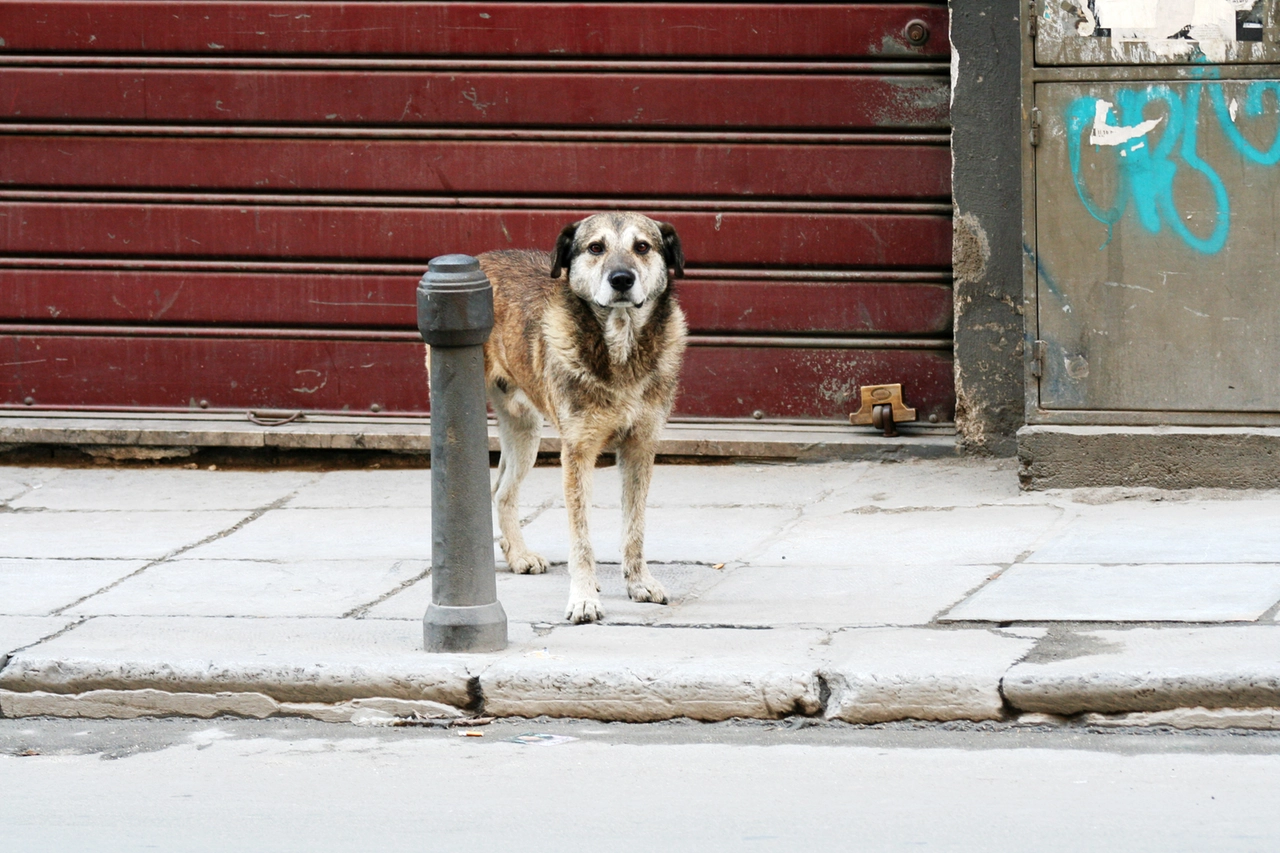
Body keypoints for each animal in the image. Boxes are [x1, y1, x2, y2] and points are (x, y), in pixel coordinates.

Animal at [478, 210, 691, 622]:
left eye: (643, 246)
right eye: (596, 248)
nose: (622, 279)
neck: (621, 347)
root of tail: (481, 256)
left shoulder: (641, 447)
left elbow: (635, 527)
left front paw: (639, 583)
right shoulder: (577, 453)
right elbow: (581, 539)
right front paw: (583, 598)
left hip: (525, 432)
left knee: (503, 491)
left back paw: (518, 556)